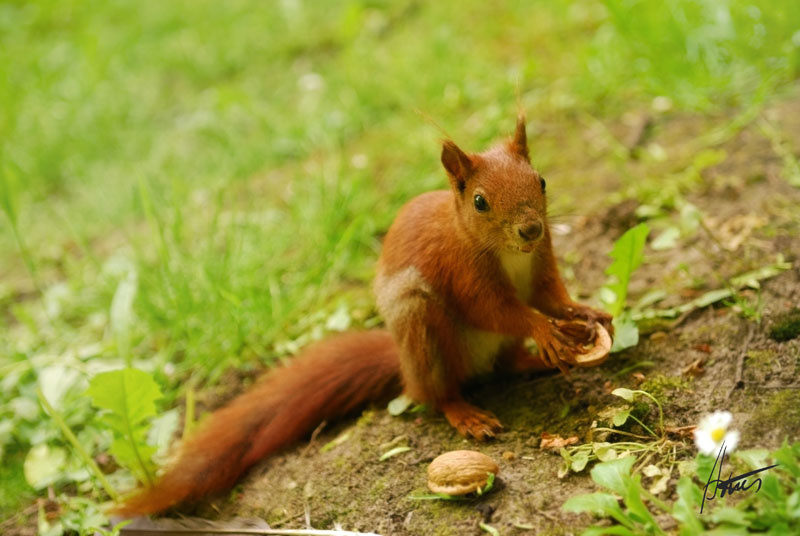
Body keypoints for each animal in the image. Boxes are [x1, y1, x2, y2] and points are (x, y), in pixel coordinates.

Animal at [115, 115, 613, 516]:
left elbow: (551, 295)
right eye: (479, 201)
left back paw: (530, 363)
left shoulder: (542, 260)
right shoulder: (463, 270)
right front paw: (540, 328)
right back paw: (465, 412)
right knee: (435, 392)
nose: (531, 229)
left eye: (542, 180)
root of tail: (404, 366)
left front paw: (585, 312)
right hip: (420, 327)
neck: (508, 252)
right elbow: (495, 309)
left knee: (504, 364)